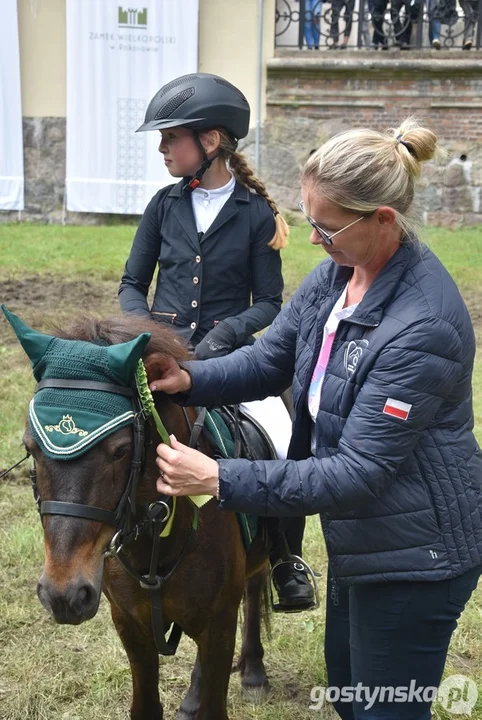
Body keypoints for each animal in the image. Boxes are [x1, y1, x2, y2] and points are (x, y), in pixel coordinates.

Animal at [22, 318, 270, 720]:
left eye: (121, 450)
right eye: (30, 446)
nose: (64, 594)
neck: (158, 537)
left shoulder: (218, 623)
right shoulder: (129, 624)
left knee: (255, 586)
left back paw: (254, 673)